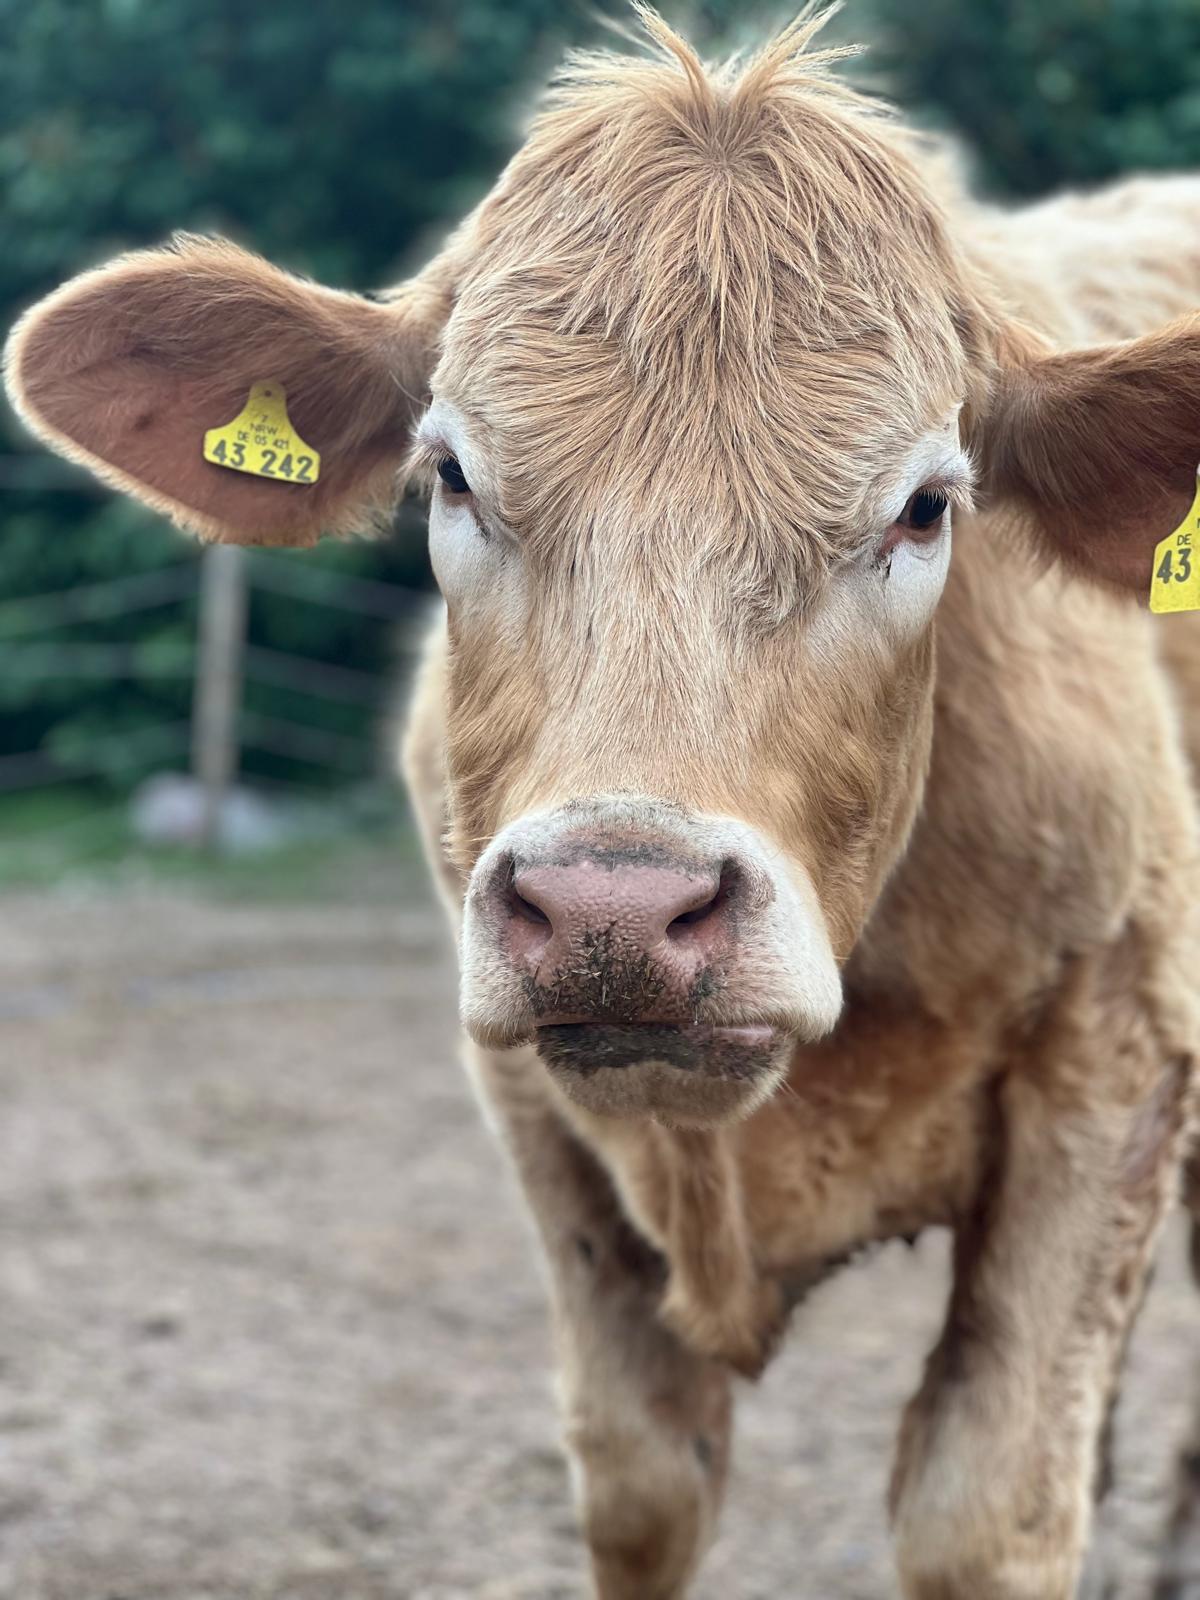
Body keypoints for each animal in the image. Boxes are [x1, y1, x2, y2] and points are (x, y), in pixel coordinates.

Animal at [8, 9, 1200, 1596]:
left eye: (927, 505)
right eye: (450, 473)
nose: (613, 907)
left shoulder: (1115, 1046)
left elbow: (986, 1504)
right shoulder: (534, 1108)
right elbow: (642, 1481)